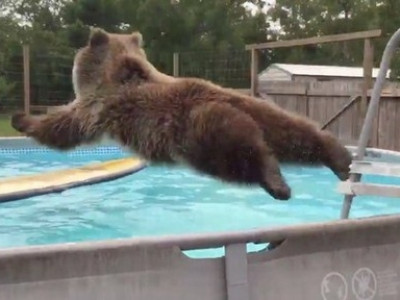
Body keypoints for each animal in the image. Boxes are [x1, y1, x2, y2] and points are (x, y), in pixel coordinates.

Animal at [10, 28, 352, 202]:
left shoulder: (98, 106)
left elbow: (64, 126)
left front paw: (21, 118)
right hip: (263, 112)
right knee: (298, 134)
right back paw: (340, 159)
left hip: (201, 134)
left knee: (244, 155)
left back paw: (277, 184)